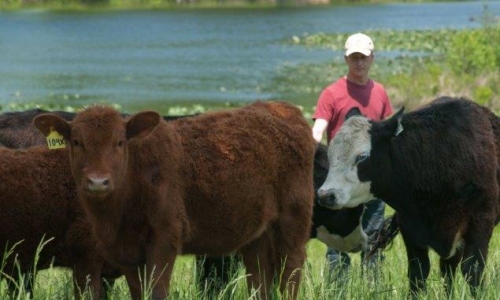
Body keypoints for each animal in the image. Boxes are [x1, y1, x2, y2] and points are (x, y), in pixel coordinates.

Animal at [34, 101, 316, 300]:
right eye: (76, 142)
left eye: (120, 142)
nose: (97, 182)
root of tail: (281, 107)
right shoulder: (127, 254)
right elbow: (139, 293)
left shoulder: (165, 239)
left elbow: (157, 292)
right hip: (257, 234)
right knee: (260, 275)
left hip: (293, 220)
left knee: (291, 271)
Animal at [316, 96, 500, 296]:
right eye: (330, 154)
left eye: (362, 157)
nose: (326, 195)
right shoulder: (410, 227)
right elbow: (418, 272)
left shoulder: (481, 221)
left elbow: (472, 270)